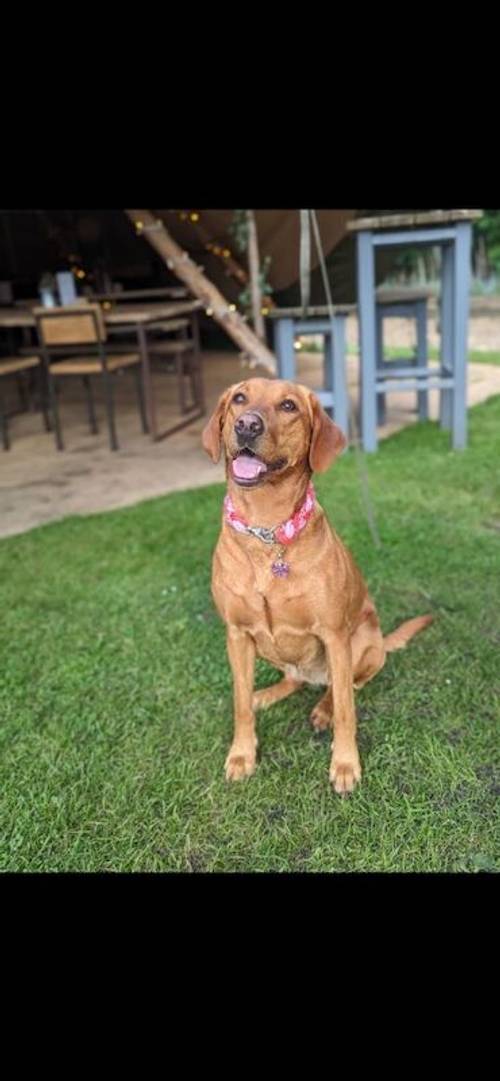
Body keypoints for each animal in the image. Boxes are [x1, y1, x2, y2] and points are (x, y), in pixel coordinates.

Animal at [201, 380, 431, 795]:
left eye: (289, 406)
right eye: (239, 398)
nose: (247, 425)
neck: (267, 530)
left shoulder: (335, 634)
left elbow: (346, 710)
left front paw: (345, 764)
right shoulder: (237, 635)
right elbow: (239, 703)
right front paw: (242, 754)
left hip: (362, 641)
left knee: (343, 688)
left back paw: (323, 708)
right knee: (293, 679)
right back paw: (267, 695)